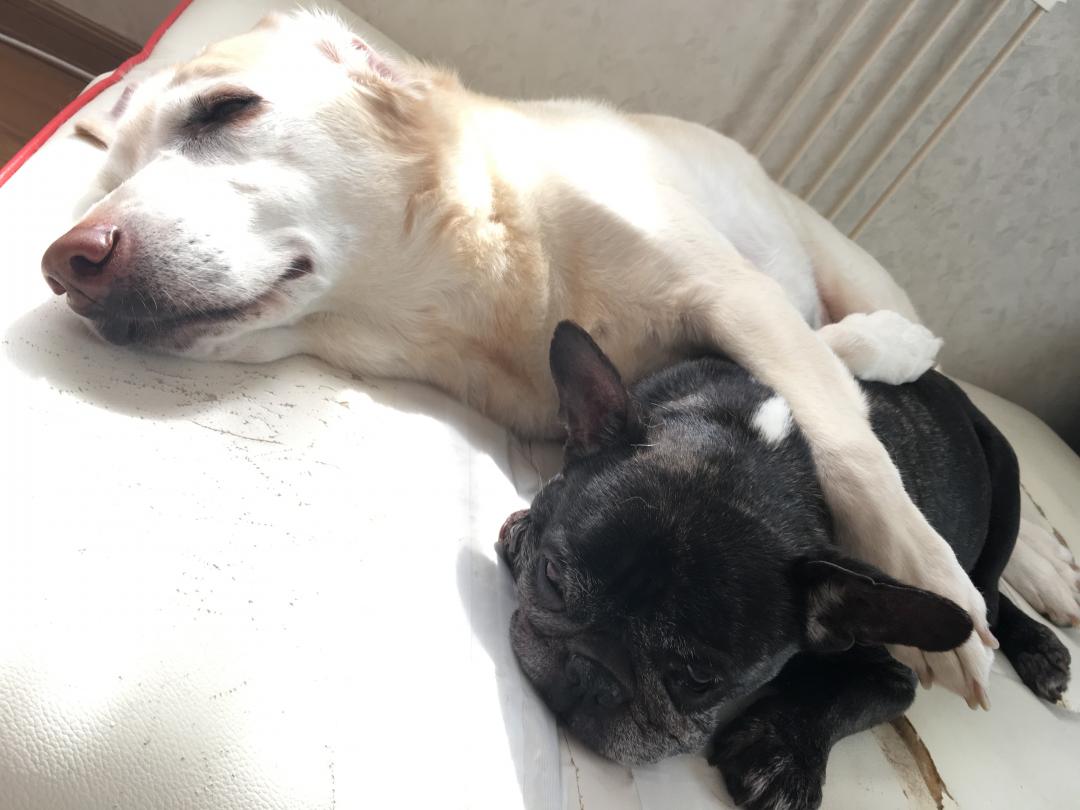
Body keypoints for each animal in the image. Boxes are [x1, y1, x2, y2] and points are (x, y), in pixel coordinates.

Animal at [39, 10, 1079, 700]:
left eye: (224, 111)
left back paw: (1035, 561)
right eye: (108, 178)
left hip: (850, 266)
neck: (487, 286)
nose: (68, 263)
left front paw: (936, 596)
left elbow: (848, 443)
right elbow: (815, 387)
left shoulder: (732, 294)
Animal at [496, 322, 1071, 810]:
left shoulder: (894, 670)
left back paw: (1035, 644)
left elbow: (849, 695)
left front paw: (780, 756)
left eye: (700, 678)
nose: (590, 675)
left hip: (1006, 477)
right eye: (552, 577)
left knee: (989, 591)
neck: (760, 442)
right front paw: (526, 525)